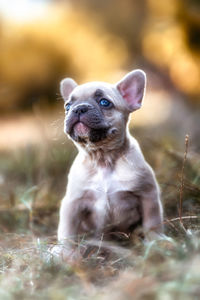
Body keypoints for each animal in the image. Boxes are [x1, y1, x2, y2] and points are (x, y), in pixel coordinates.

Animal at [55, 69, 163, 255]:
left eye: (104, 102)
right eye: (67, 106)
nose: (78, 109)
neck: (103, 158)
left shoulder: (148, 195)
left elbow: (152, 223)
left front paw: (156, 246)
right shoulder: (72, 203)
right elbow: (67, 232)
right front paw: (67, 254)